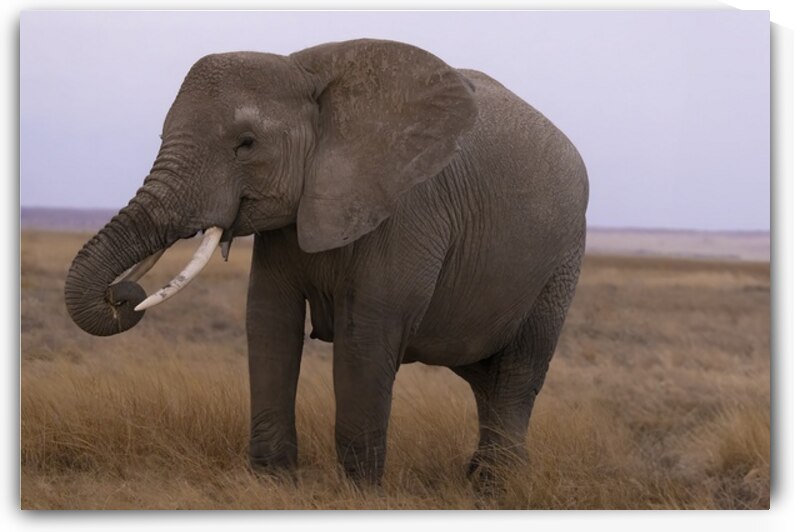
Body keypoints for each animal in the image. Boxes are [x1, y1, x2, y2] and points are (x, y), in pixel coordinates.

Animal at [64, 39, 588, 485]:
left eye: (246, 143)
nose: (121, 294)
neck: (306, 69)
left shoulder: (407, 209)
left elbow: (366, 335)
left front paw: (359, 491)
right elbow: (268, 319)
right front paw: (272, 481)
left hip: (562, 260)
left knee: (518, 373)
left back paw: (496, 488)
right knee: (485, 377)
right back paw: (486, 478)